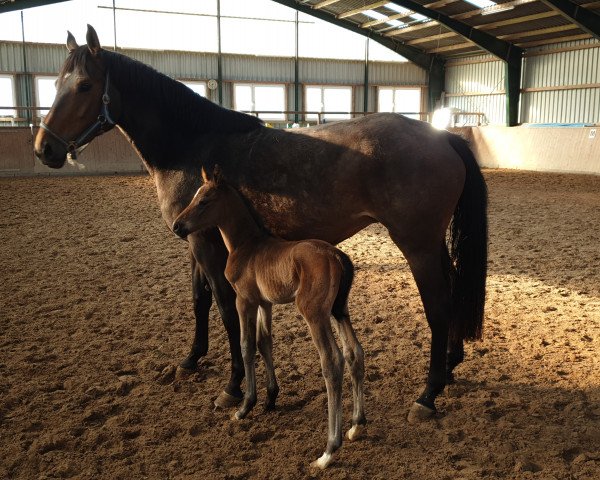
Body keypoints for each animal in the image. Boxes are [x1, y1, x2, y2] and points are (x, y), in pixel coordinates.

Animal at [171, 169, 364, 468]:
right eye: (194, 197)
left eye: (203, 201)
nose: (177, 226)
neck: (246, 246)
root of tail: (336, 255)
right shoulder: (265, 303)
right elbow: (265, 343)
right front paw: (270, 399)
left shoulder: (244, 301)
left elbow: (246, 346)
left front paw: (244, 406)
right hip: (339, 310)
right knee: (354, 352)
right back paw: (355, 427)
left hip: (314, 313)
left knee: (332, 361)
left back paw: (328, 451)